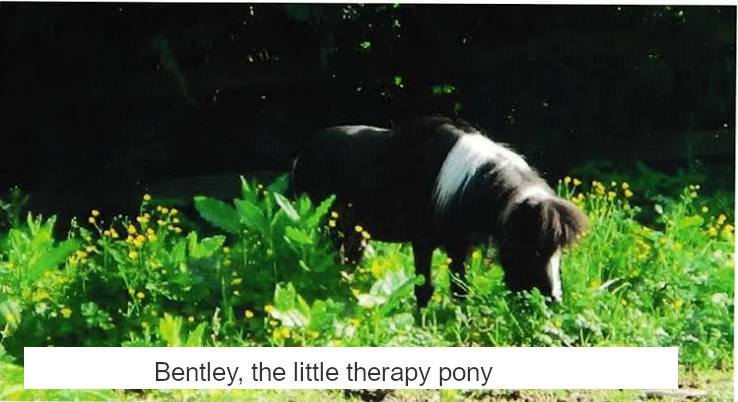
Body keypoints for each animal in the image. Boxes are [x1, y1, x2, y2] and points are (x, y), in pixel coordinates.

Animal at [290, 116, 587, 307]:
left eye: (558, 252)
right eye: (534, 249)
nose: (553, 299)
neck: (462, 184)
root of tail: (305, 152)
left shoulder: (459, 246)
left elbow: (460, 290)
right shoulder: (423, 242)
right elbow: (424, 289)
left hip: (355, 232)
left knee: (347, 261)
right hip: (328, 224)